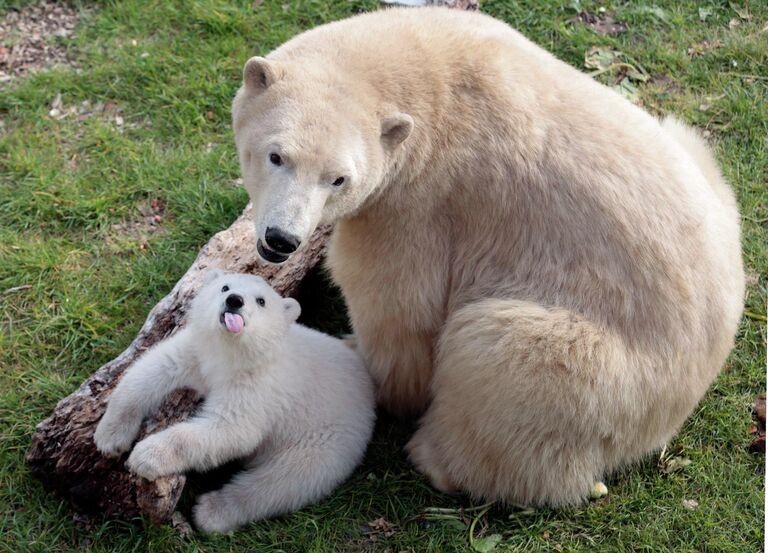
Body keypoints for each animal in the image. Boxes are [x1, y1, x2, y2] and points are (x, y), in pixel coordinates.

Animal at [232, 7, 744, 504]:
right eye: (277, 155)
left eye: (338, 178)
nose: (281, 240)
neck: (426, 77)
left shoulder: (418, 203)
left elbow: (398, 311)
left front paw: (358, 353)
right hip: (706, 172)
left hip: (609, 375)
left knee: (498, 355)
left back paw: (436, 458)